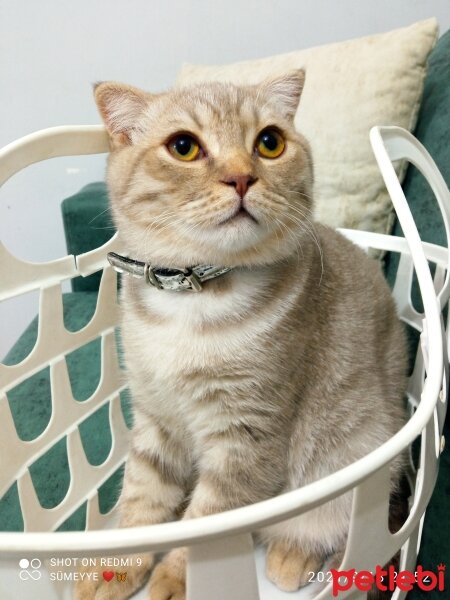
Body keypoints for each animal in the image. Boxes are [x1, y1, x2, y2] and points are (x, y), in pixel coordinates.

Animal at [74, 71, 408, 600]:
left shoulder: (247, 437)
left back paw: (292, 554)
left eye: (269, 142)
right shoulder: (155, 416)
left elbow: (207, 525)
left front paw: (176, 580)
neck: (190, 299)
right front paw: (118, 566)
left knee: (330, 530)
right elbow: (144, 499)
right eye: (184, 147)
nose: (241, 178)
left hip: (357, 456)